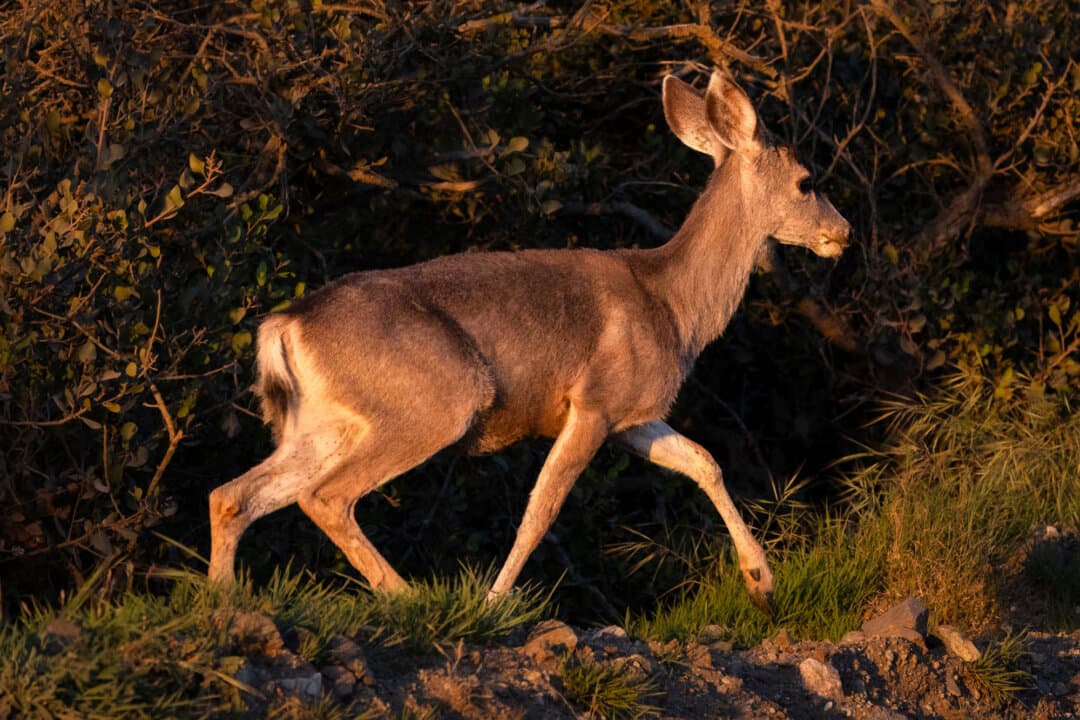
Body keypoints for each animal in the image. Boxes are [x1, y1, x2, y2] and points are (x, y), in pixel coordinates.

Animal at [207, 69, 850, 613]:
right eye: (806, 181)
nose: (841, 232)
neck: (671, 305)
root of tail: (285, 325)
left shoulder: (633, 414)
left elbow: (704, 462)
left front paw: (761, 583)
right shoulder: (594, 402)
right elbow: (541, 510)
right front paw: (495, 602)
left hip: (319, 422)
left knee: (232, 495)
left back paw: (224, 597)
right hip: (433, 401)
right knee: (325, 496)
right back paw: (408, 596)